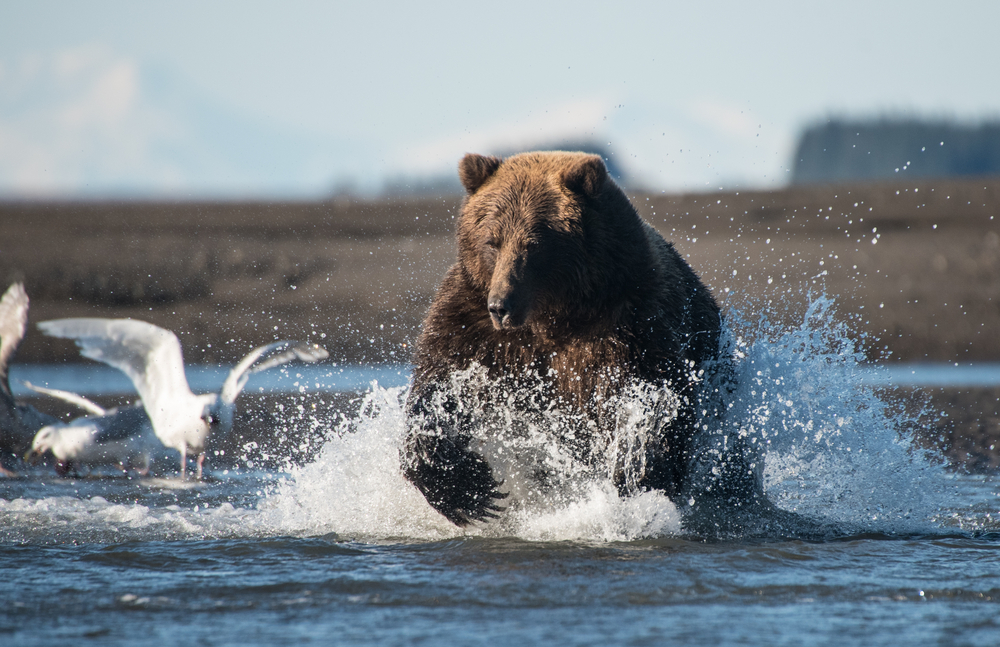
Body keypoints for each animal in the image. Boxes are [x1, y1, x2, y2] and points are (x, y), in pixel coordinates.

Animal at [398, 151, 756, 528]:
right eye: (491, 242)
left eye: (533, 243)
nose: (501, 306)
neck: (556, 318)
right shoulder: (472, 327)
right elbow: (437, 387)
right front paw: (472, 490)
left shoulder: (631, 324)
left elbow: (653, 402)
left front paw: (635, 473)